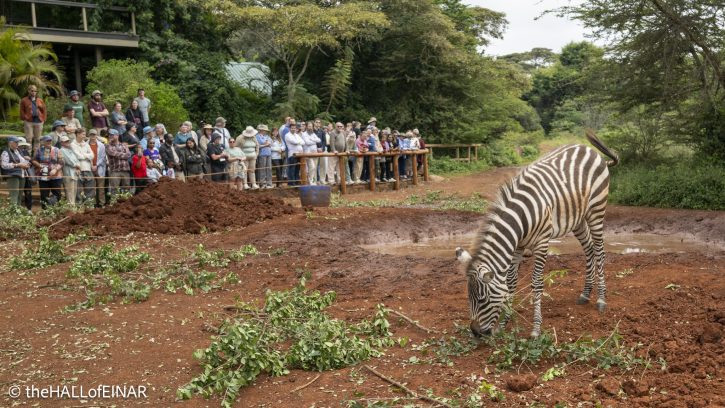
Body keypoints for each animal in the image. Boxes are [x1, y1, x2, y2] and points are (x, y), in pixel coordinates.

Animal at [456, 130, 619, 338]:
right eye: (469, 297)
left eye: (483, 300)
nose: (475, 333)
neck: (520, 219)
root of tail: (589, 149)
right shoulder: (518, 245)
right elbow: (510, 282)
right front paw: (504, 324)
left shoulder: (542, 243)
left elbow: (537, 283)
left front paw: (535, 329)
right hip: (577, 218)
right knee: (589, 248)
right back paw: (585, 294)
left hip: (596, 209)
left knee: (599, 250)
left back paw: (601, 299)